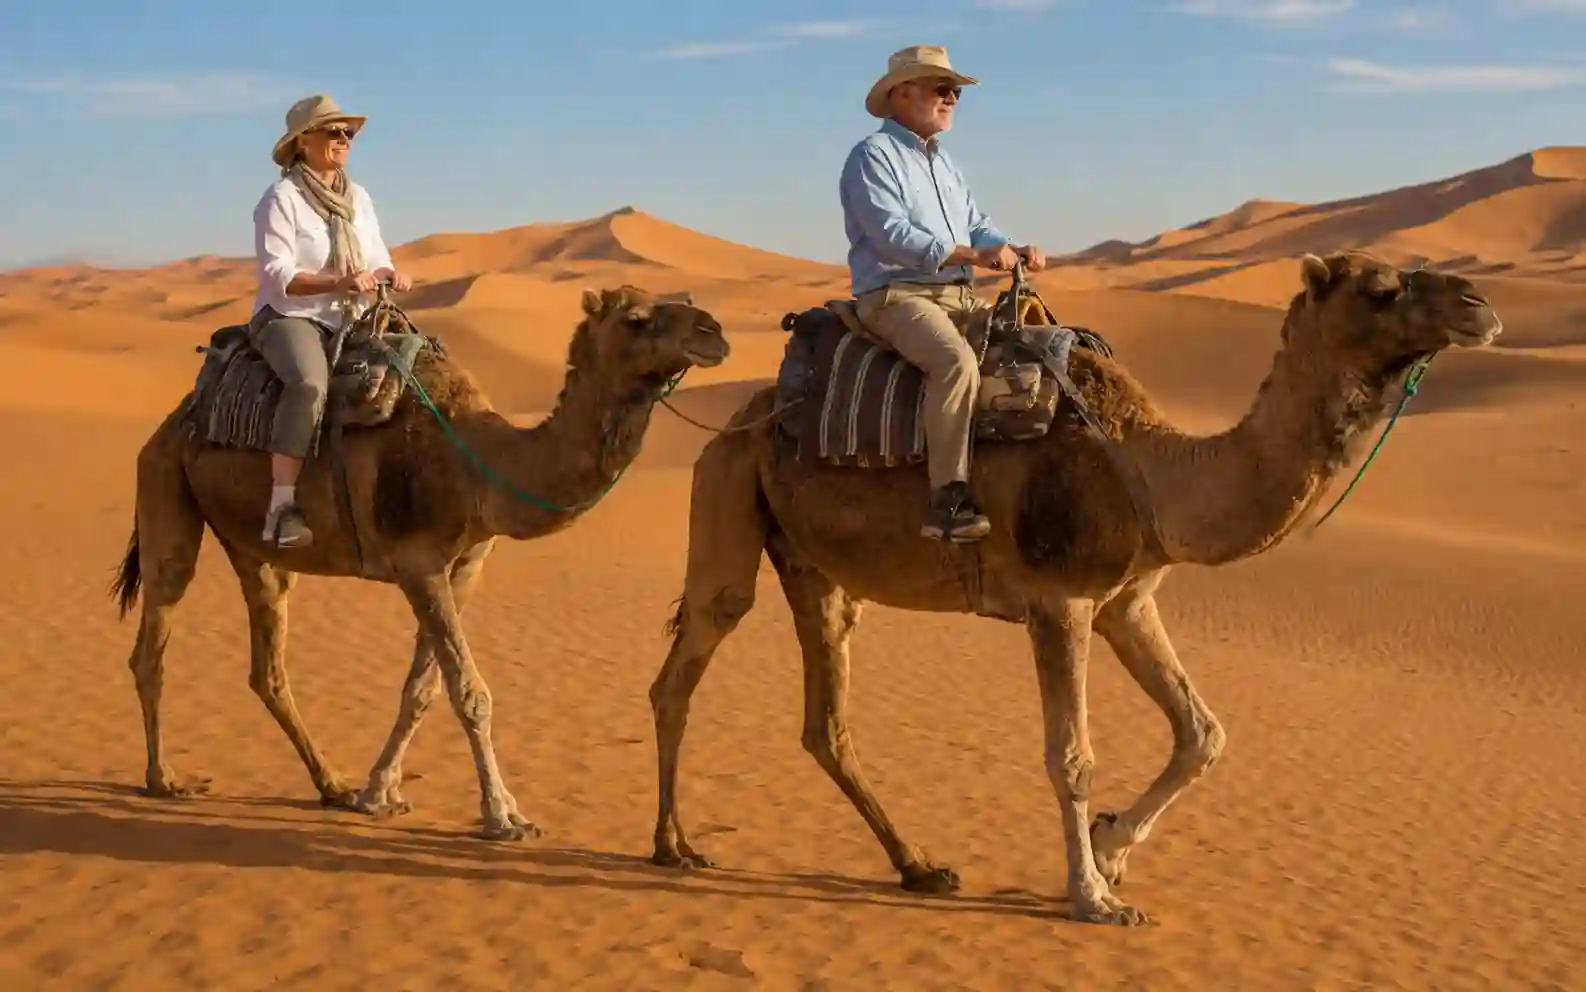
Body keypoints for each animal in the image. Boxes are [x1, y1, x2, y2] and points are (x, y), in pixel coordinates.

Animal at [109, 285, 729, 840]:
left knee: (268, 667)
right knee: (154, 637)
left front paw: (377, 791)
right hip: (165, 484)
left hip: (255, 550)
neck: (478, 462)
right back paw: (164, 778)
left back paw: (331, 783)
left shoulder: (467, 563)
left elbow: (423, 688)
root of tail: (178, 416)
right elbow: (469, 692)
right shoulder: (418, 563)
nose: (714, 332)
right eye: (637, 319)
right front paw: (503, 816)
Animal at [646, 251, 1501, 925]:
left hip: (814, 565)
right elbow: (1071, 756)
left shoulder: (1127, 600)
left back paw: (918, 866)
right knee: (688, 662)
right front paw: (1094, 896)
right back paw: (673, 847)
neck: (1148, 469)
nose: (1479, 304)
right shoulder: (1058, 601)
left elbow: (1203, 732)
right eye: (1382, 288)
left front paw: (1111, 847)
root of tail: (750, 409)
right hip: (728, 486)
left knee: (824, 723)